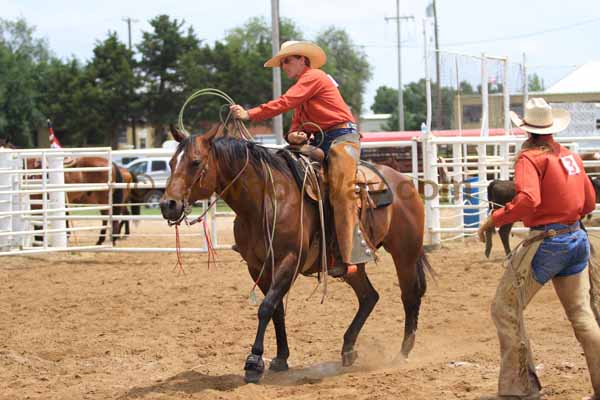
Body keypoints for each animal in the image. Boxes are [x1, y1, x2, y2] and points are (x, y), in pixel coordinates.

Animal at [159, 126, 432, 384]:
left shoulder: (289, 262)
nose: (167, 204)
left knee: (409, 295)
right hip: (352, 264)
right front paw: (281, 358)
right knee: (369, 297)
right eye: (171, 162)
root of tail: (403, 180)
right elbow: (276, 309)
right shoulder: (258, 267)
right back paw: (348, 349)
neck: (265, 201)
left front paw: (254, 362)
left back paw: (403, 353)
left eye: (195, 162)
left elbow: (266, 307)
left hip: (405, 254)